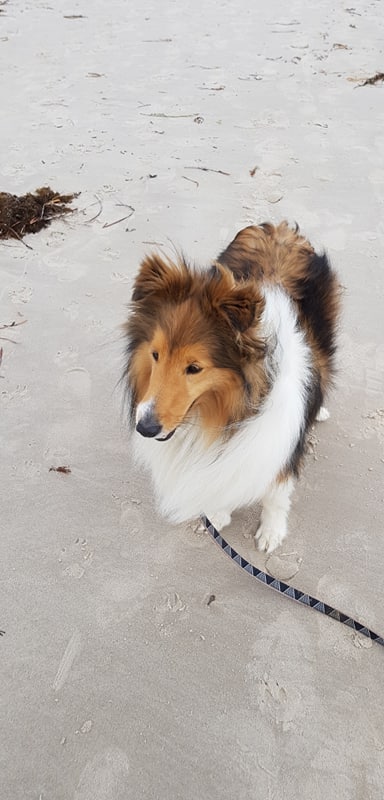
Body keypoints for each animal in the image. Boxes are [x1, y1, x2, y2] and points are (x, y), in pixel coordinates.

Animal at [124, 222, 340, 552]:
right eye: (155, 355)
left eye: (194, 368)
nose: (145, 428)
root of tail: (280, 228)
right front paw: (218, 513)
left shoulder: (283, 444)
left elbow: (276, 495)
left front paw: (271, 532)